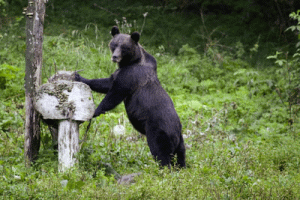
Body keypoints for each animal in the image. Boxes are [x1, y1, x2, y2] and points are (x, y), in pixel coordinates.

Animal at [75, 26, 185, 167]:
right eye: (114, 44)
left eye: (124, 47)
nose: (115, 57)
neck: (130, 62)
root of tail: (175, 132)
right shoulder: (119, 73)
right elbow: (106, 83)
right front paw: (79, 76)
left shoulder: (131, 76)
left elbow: (114, 94)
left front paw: (95, 111)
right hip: (180, 140)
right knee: (181, 156)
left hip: (158, 131)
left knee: (161, 153)